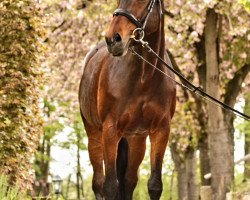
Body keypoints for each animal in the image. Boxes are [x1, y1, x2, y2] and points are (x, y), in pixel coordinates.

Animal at [78, 0, 176, 198]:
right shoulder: (110, 130)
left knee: (129, 181)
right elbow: (110, 186)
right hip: (94, 135)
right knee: (98, 183)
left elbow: (154, 185)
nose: (113, 39)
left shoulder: (161, 130)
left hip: (136, 140)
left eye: (144, 1)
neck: (145, 78)